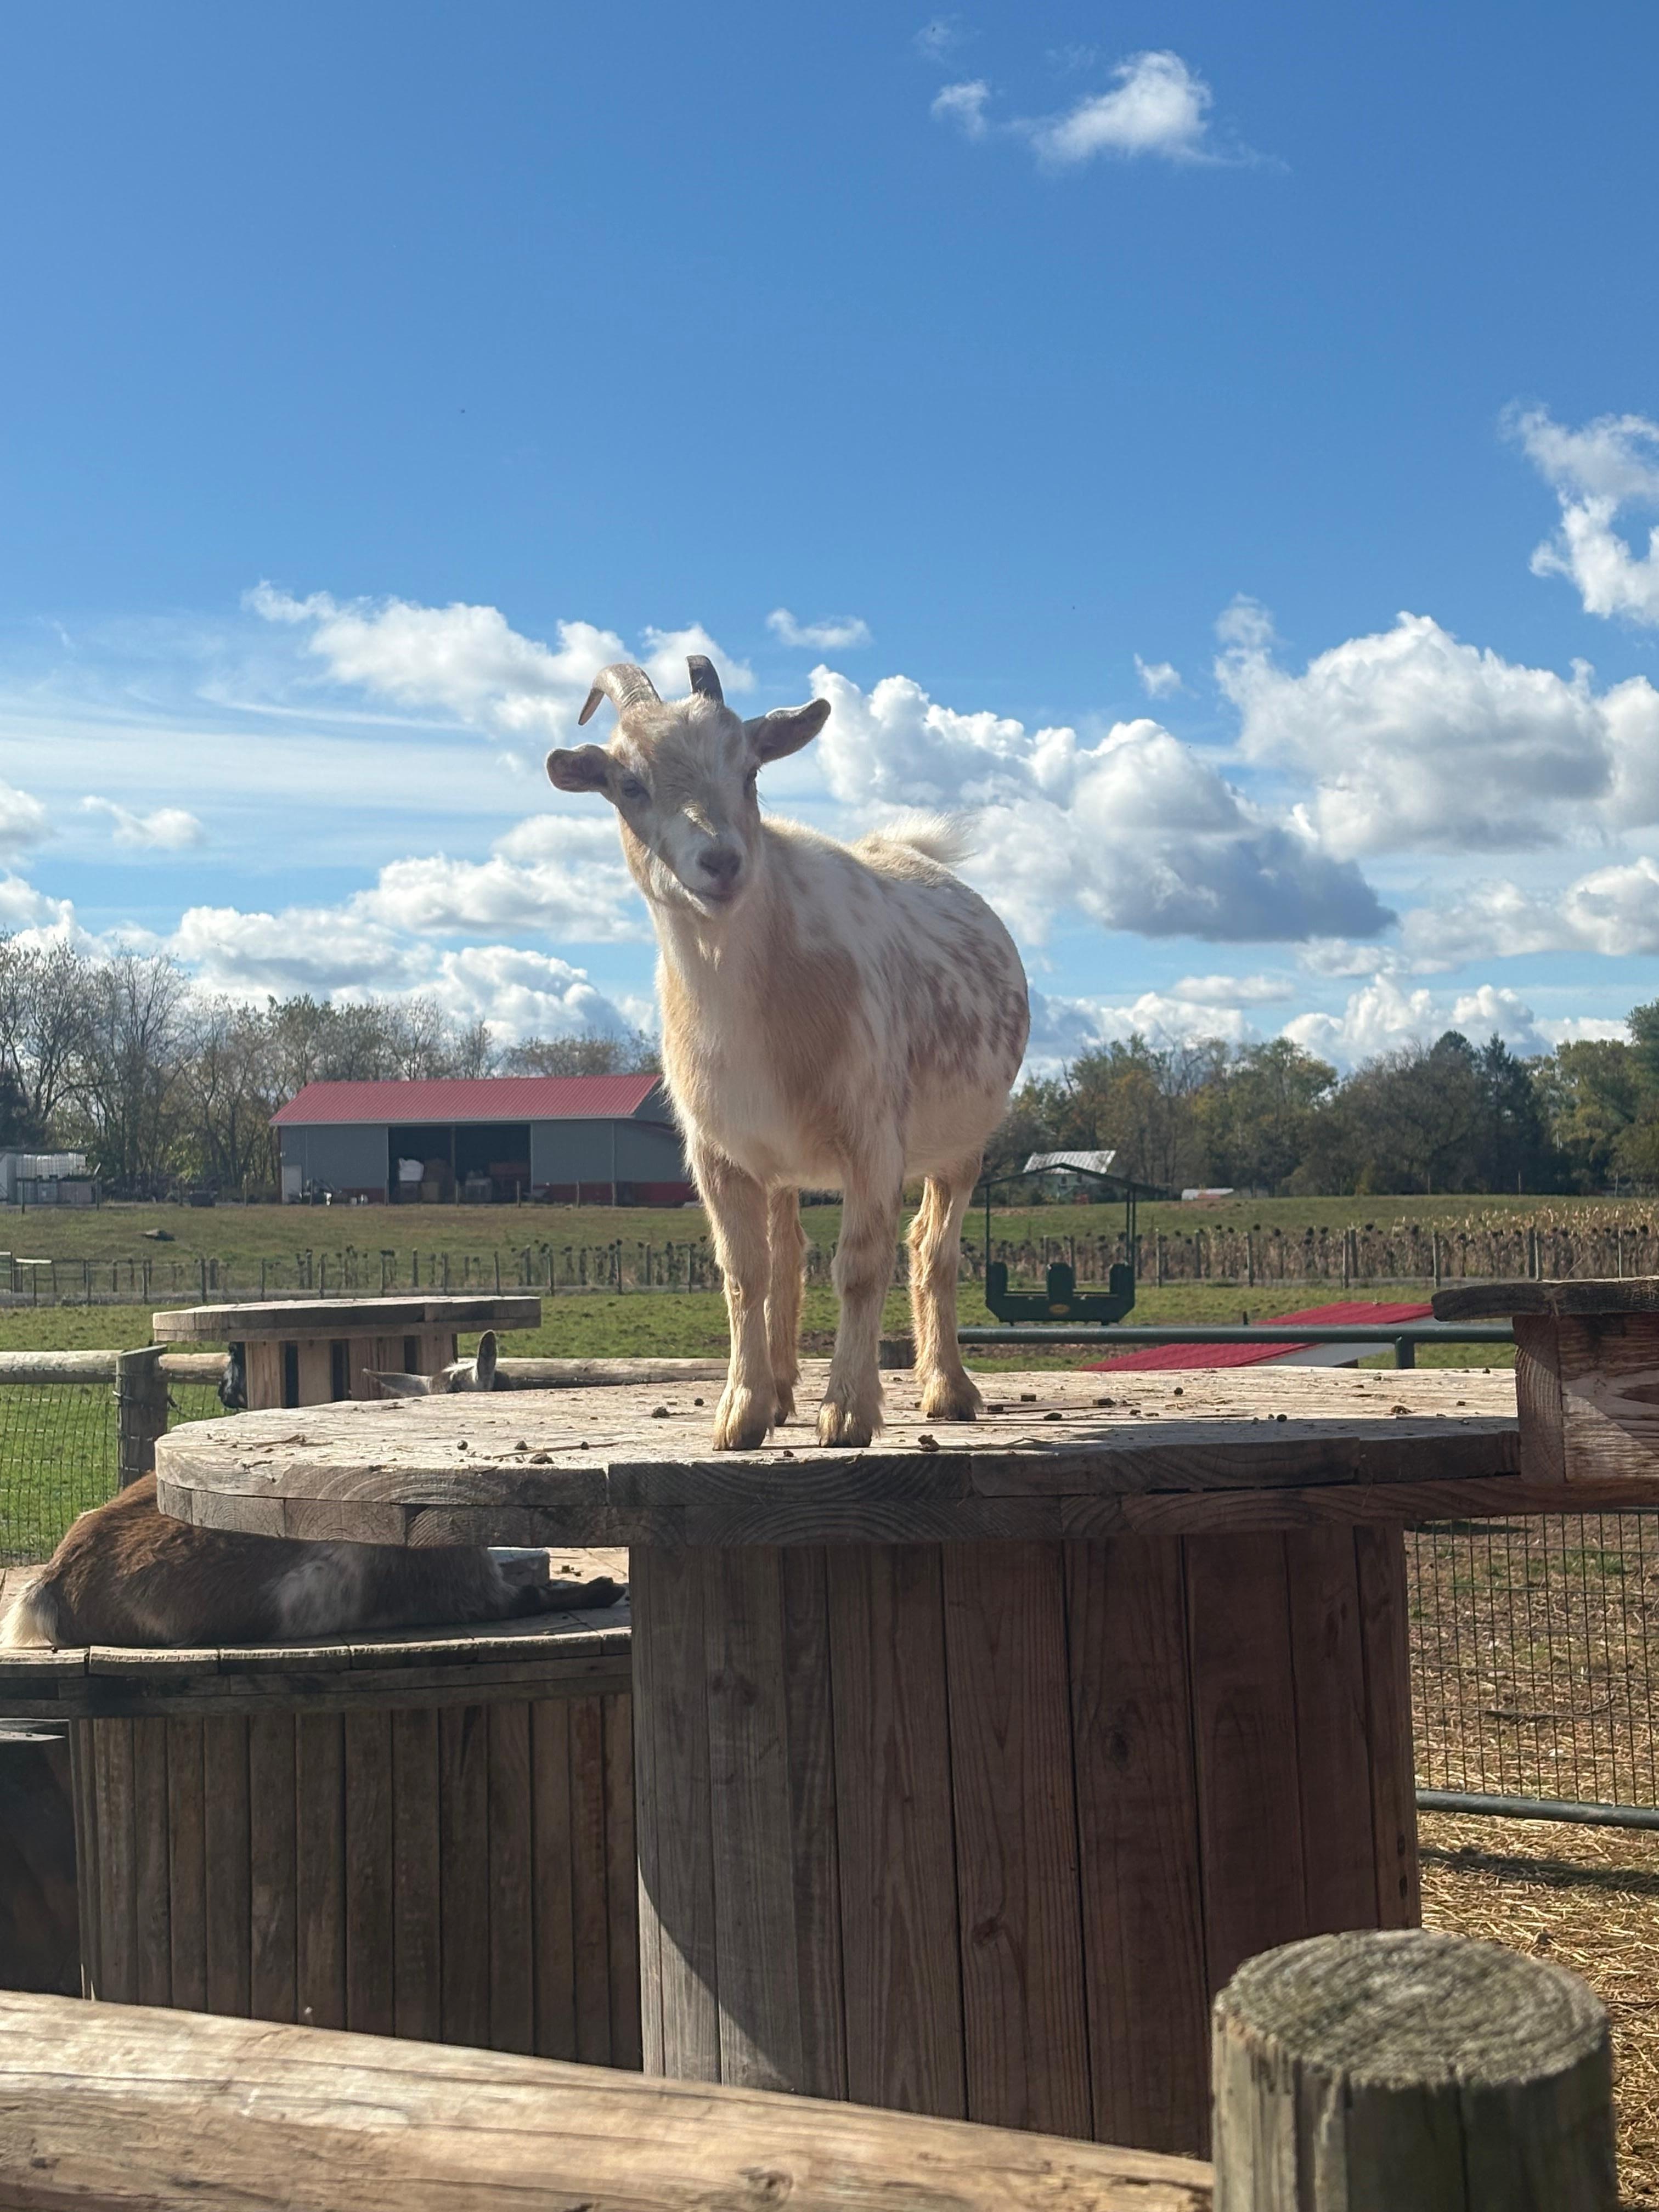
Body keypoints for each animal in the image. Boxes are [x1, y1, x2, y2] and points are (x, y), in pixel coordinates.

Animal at [548, 656, 1030, 1451]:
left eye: (750, 769)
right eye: (629, 785)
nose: (720, 861)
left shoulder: (873, 1137)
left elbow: (860, 1265)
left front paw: (849, 1411)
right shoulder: (718, 1151)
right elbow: (746, 1273)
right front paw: (740, 1412)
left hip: (964, 1140)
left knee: (932, 1250)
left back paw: (948, 1388)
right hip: (777, 1158)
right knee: (789, 1254)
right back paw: (778, 1393)